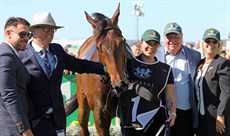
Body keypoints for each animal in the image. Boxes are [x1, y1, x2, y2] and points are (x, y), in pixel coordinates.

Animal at [65, 4, 128, 136]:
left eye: (122, 42)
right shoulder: (100, 114)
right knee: (83, 126)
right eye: (99, 47)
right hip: (82, 101)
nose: (119, 83)